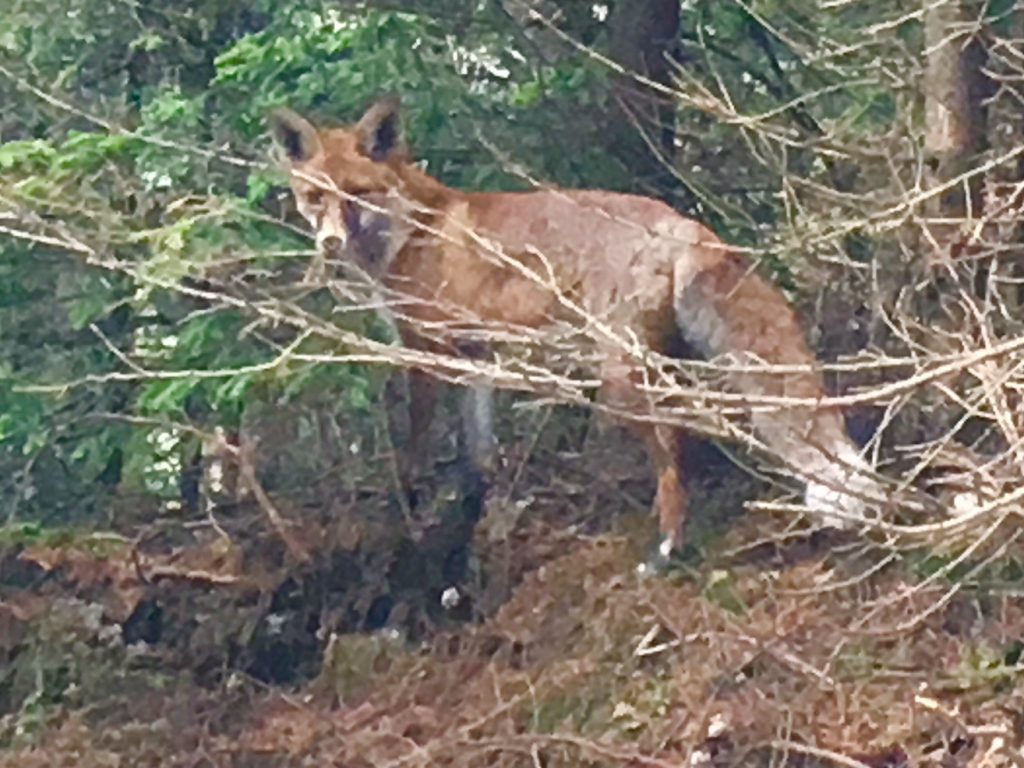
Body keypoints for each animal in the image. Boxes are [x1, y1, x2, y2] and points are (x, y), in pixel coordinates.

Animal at [268, 97, 879, 563]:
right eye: (315, 197)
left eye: (357, 194)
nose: (329, 244)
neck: (411, 230)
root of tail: (682, 223)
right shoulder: (477, 356)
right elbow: (478, 456)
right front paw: (475, 517)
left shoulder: (428, 349)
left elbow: (414, 449)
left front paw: (414, 516)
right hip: (660, 361)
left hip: (619, 378)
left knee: (674, 441)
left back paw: (668, 547)